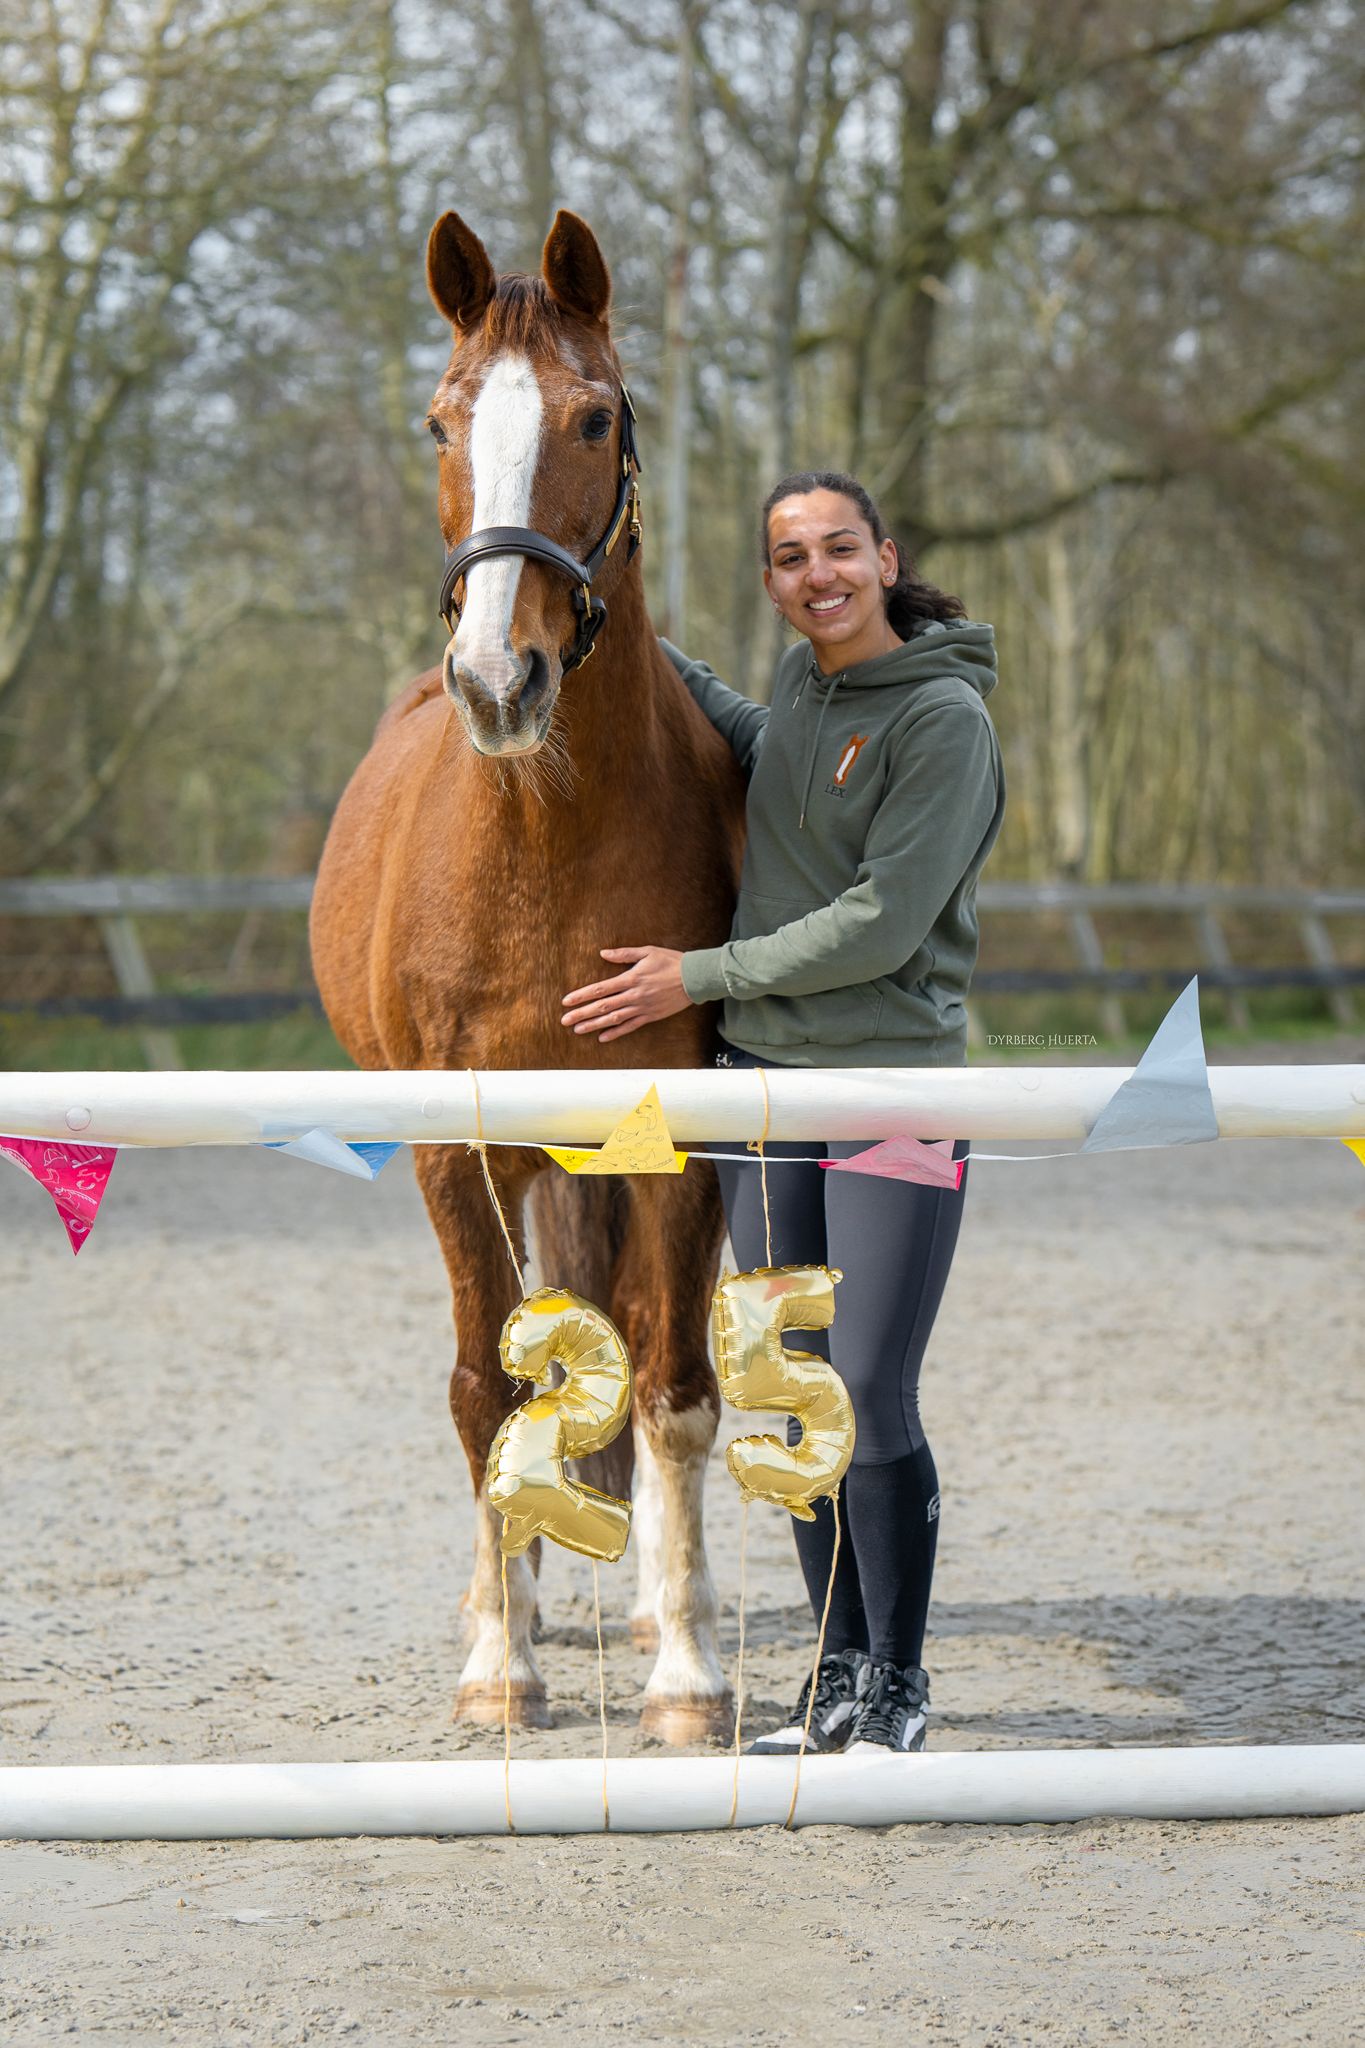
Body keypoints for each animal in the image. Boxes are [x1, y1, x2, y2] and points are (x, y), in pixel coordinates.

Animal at [309, 208, 747, 1742]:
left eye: (594, 415)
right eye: (441, 422)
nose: (500, 681)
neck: (545, 834)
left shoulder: (682, 1146)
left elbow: (671, 1386)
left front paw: (685, 1674)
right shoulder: (458, 1149)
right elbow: (480, 1393)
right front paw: (502, 1660)